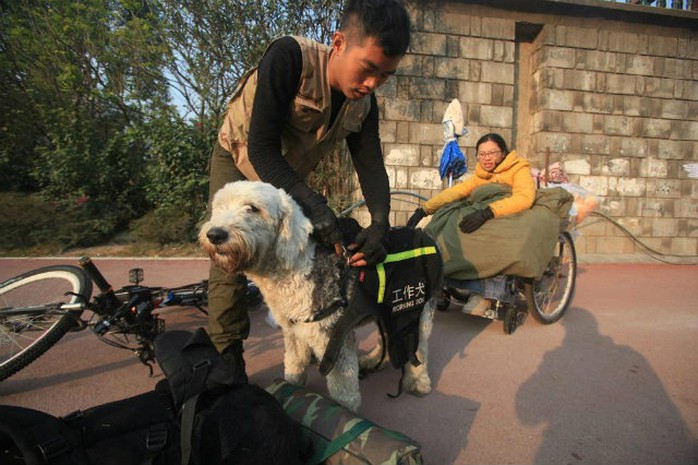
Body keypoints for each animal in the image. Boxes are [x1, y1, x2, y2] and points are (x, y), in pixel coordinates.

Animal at [198, 179, 432, 412]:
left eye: (252, 208)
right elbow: (294, 366)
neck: (295, 267)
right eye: (219, 207)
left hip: (421, 309)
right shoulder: (293, 331)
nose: (215, 235)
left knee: (420, 347)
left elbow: (343, 391)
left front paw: (346, 413)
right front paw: (288, 390)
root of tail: (419, 231)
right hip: (385, 310)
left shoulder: (332, 337)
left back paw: (419, 383)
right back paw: (374, 360)